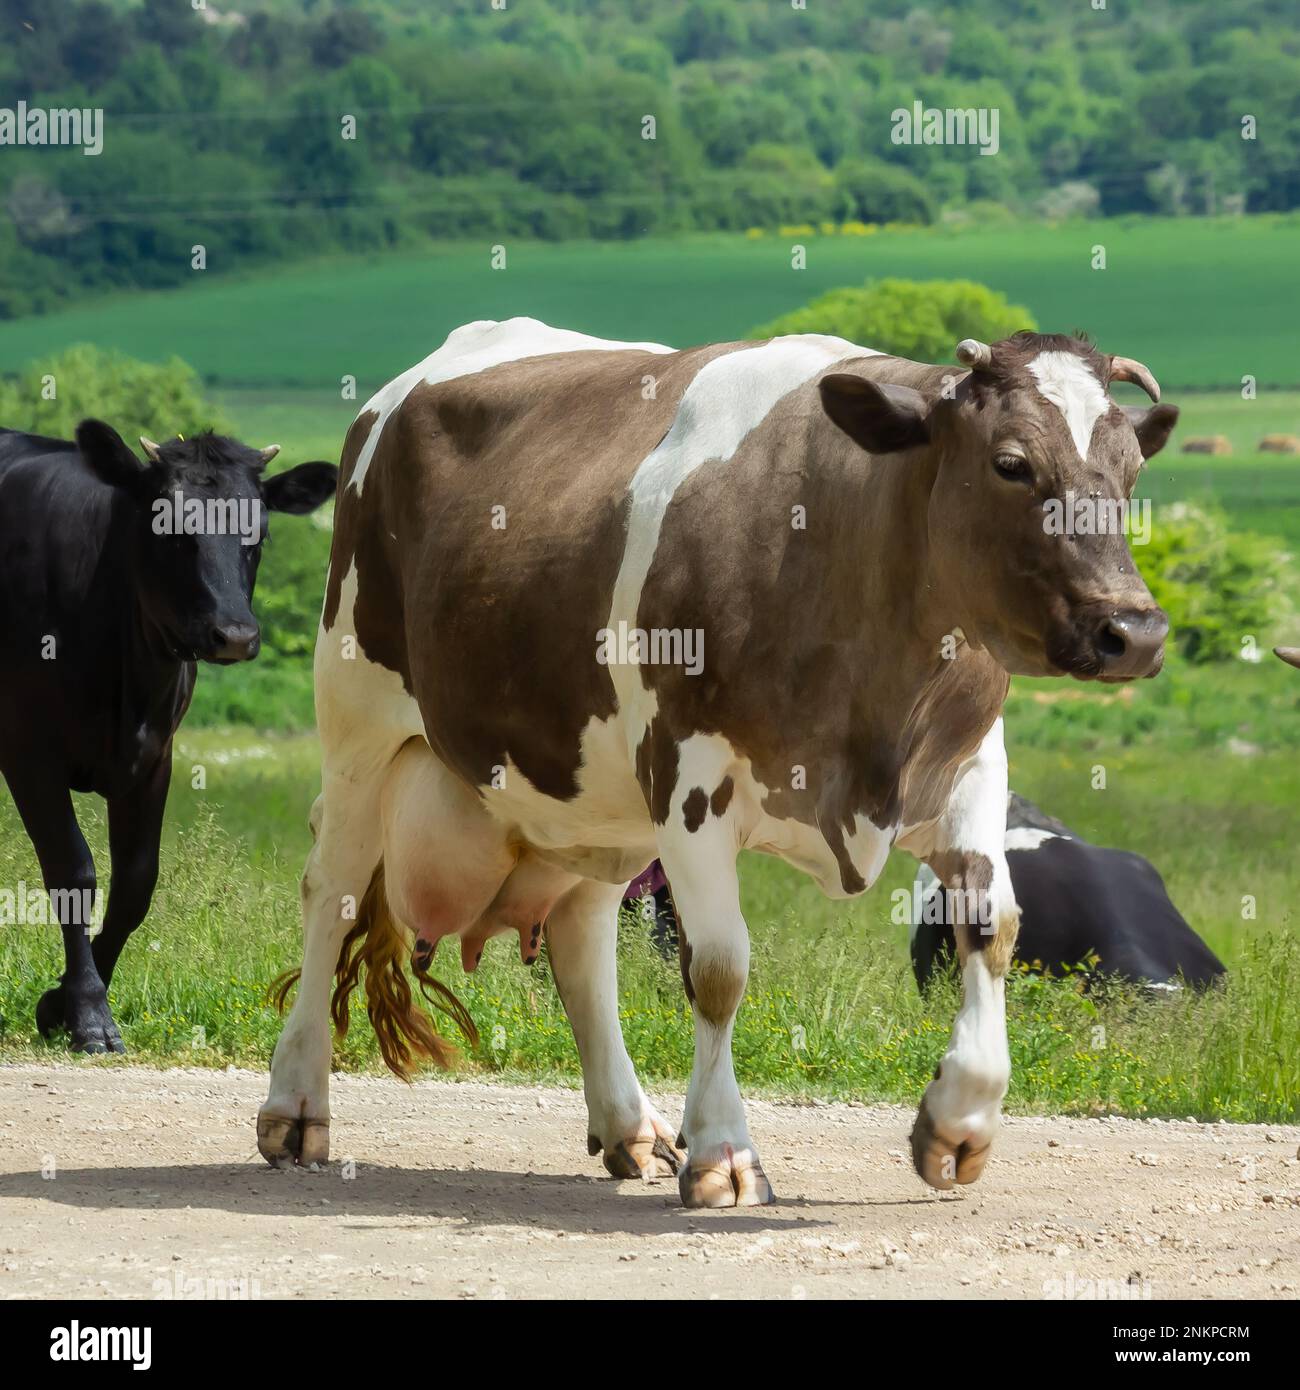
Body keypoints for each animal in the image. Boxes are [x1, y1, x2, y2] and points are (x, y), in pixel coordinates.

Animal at [0, 422, 337, 1053]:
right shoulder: (29, 753)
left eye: (258, 530)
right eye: (170, 528)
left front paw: (59, 1002)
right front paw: (89, 1014)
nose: (235, 634)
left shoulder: (155, 758)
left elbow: (136, 882)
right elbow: (73, 871)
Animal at [257, 318, 1178, 1206]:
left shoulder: (968, 773)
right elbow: (720, 968)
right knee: (332, 893)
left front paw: (959, 1124)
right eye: (1010, 463)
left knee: (582, 933)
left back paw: (627, 1124)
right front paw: (725, 1155)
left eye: (1132, 470)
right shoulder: (690, 781)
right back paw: (296, 1107)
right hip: (358, 722)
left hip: (601, 791)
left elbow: (991, 928)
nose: (1133, 630)